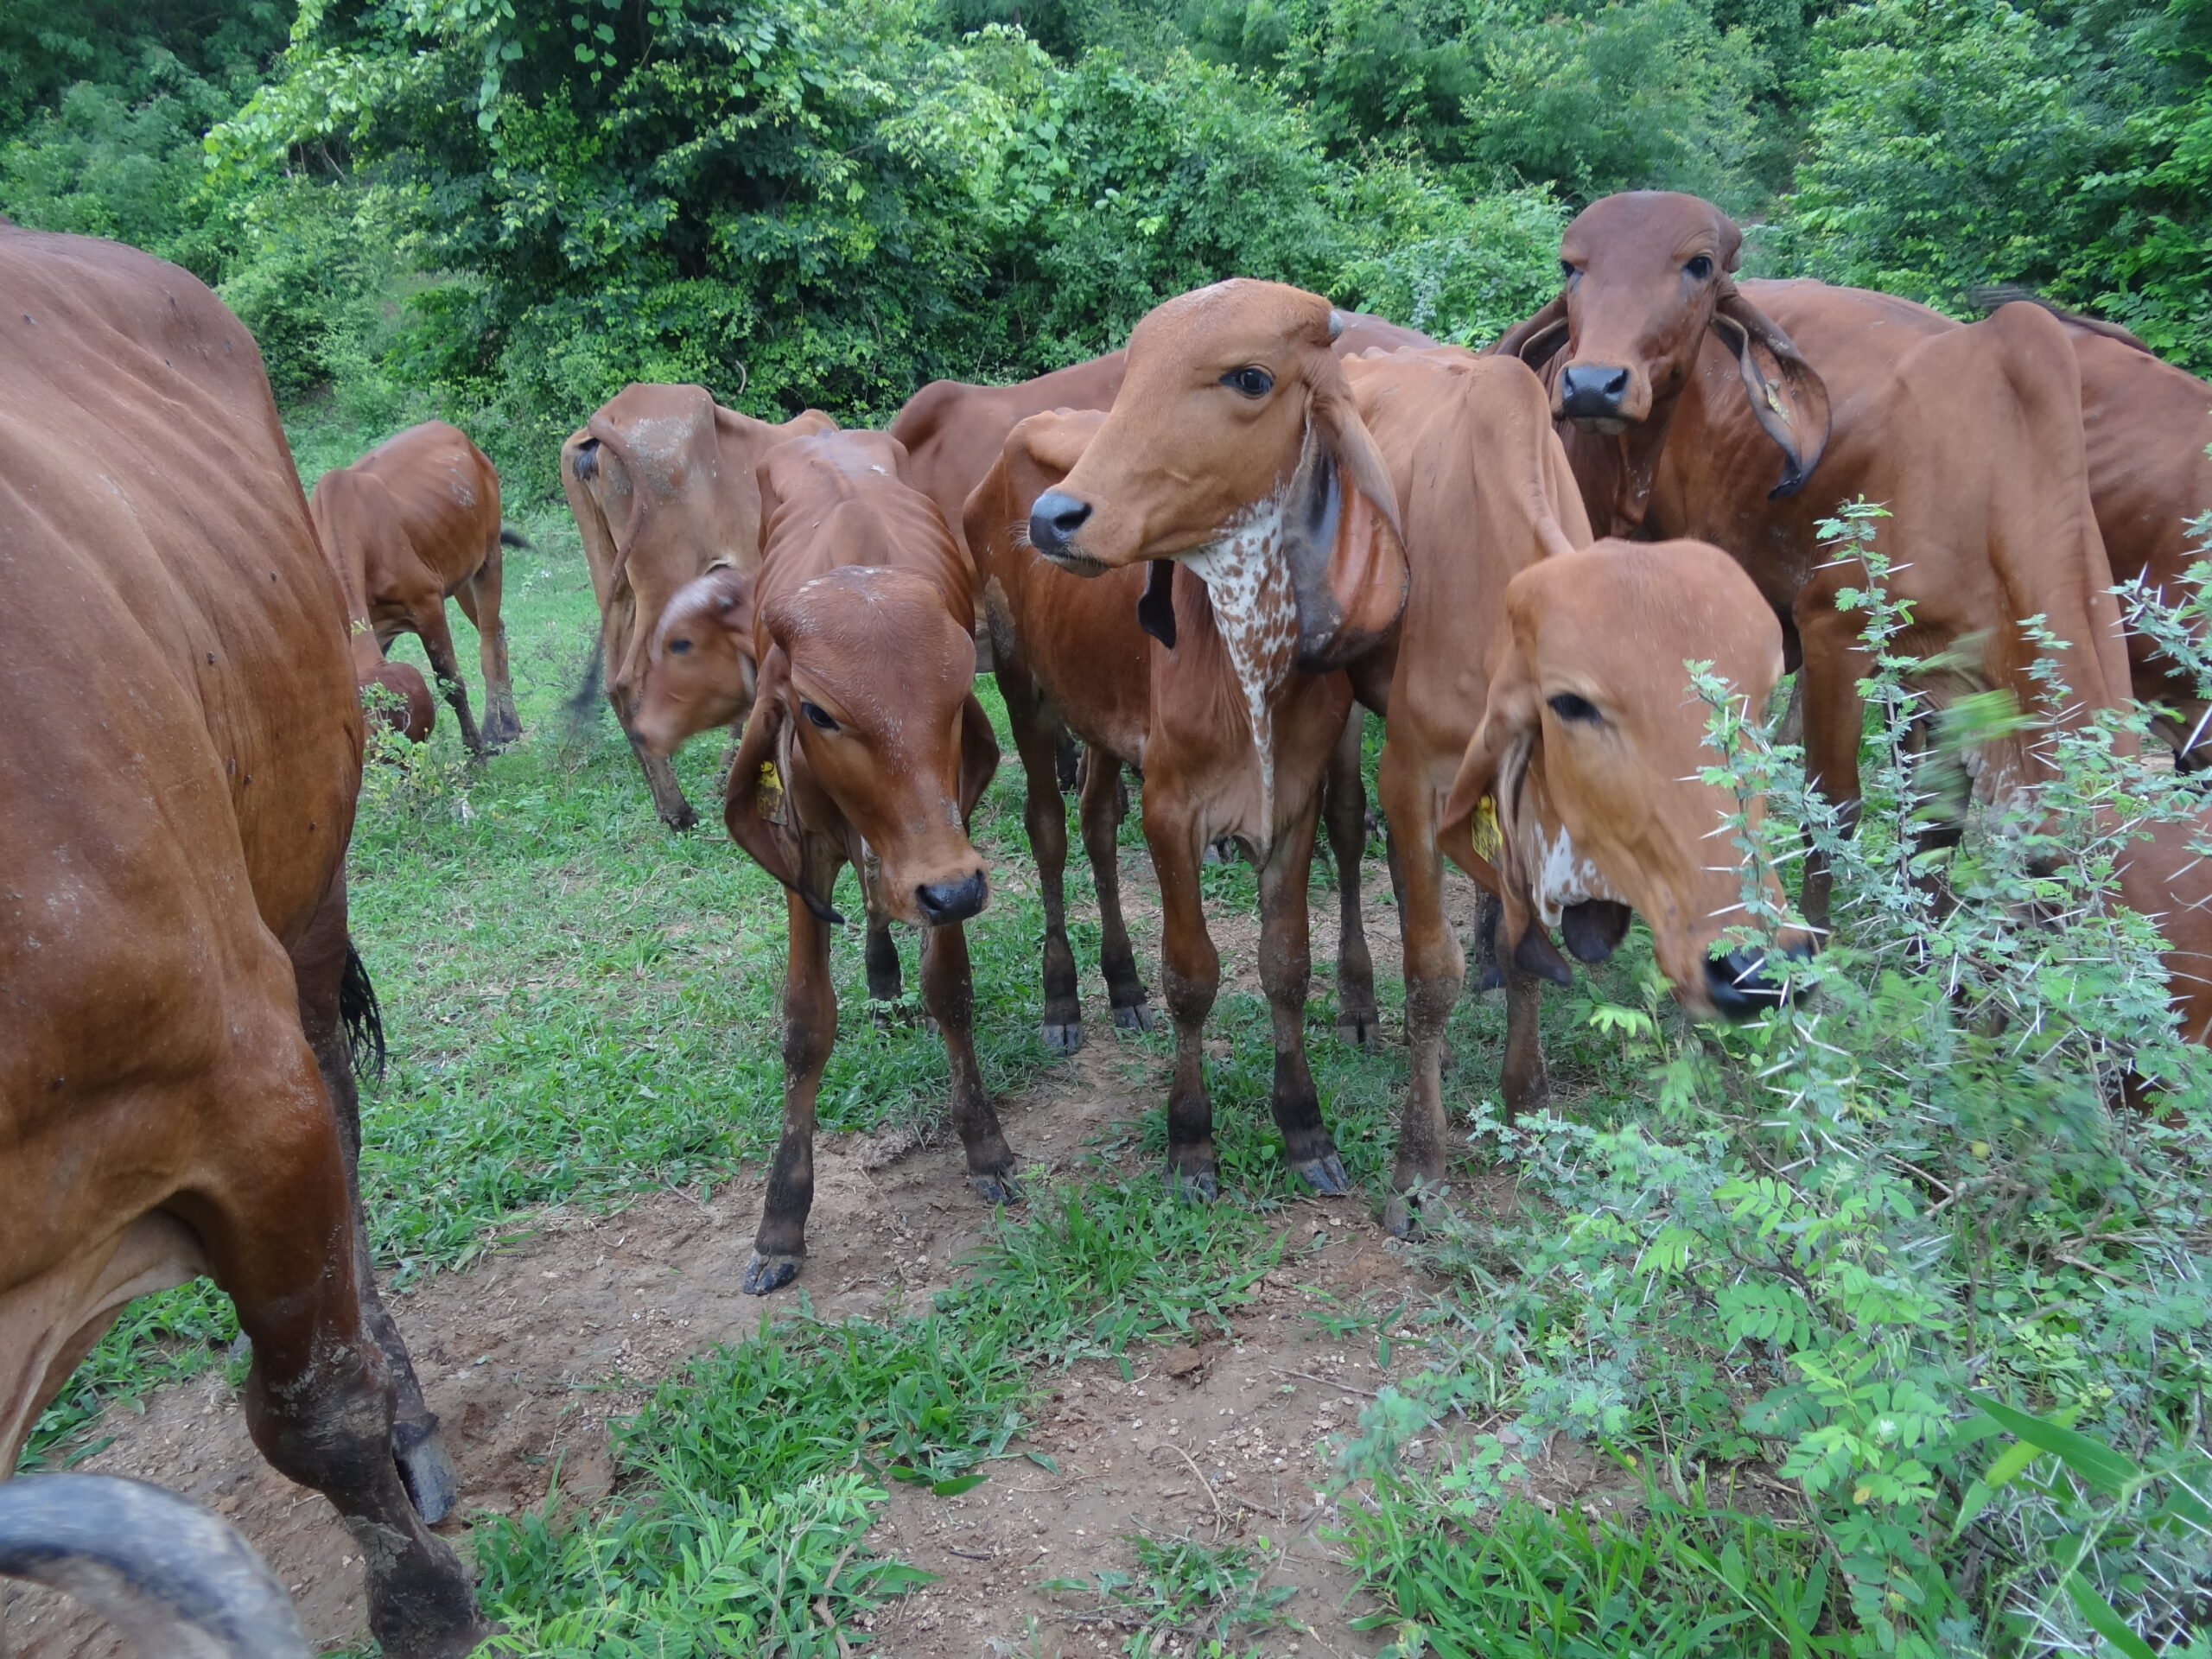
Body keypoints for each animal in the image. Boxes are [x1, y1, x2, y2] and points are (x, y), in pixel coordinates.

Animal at [308, 420, 524, 755]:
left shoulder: (427, 605)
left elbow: (451, 683)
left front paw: (474, 750)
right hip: (460, 575)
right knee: (498, 630)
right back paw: (510, 723)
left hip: (489, 556)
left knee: (488, 642)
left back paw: (497, 729)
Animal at [562, 383, 834, 830]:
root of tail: (608, 416)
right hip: (662, 579)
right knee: (628, 681)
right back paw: (678, 809)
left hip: (612, 581)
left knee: (612, 683)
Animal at [630, 429, 1009, 1293]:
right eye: (819, 711)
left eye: (955, 698)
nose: (951, 890)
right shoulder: (807, 858)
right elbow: (806, 1024)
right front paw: (781, 1221)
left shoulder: (947, 845)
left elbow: (950, 988)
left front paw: (984, 1143)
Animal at [964, 408, 1381, 1194]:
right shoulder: (1169, 810)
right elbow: (1192, 975)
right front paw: (1190, 1138)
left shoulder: (1292, 807)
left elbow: (1286, 966)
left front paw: (1304, 1127)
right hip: (1020, 679)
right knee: (1049, 832)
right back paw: (1063, 998)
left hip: (1098, 713)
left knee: (1097, 822)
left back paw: (1123, 986)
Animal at [1025, 279, 1597, 1232]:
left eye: (1249, 378)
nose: (1056, 517)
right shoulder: (1410, 775)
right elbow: (1416, 970)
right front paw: (1414, 1166)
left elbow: (1508, 942)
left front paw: (1526, 1100)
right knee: (1064, 827)